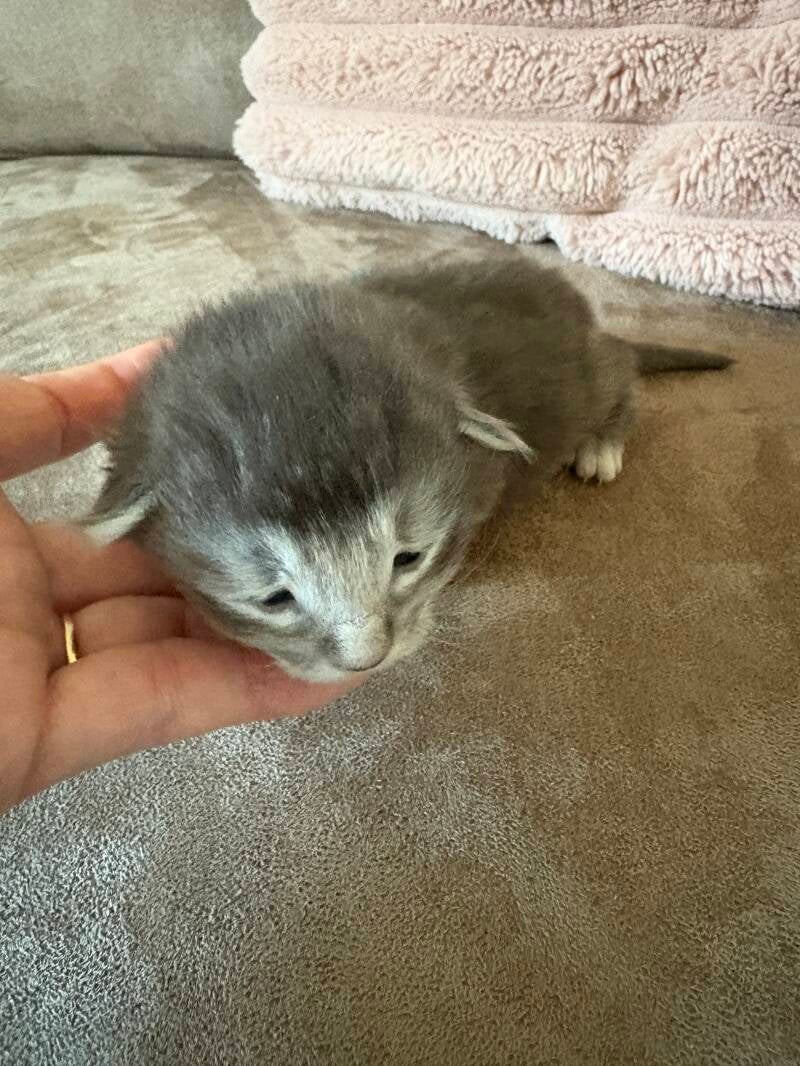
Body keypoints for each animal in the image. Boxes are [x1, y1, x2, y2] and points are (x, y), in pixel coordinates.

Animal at [86, 257, 731, 682]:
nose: (366, 660)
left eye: (408, 559)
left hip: (587, 377)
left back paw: (601, 444)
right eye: (274, 599)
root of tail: (581, 311)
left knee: (620, 366)